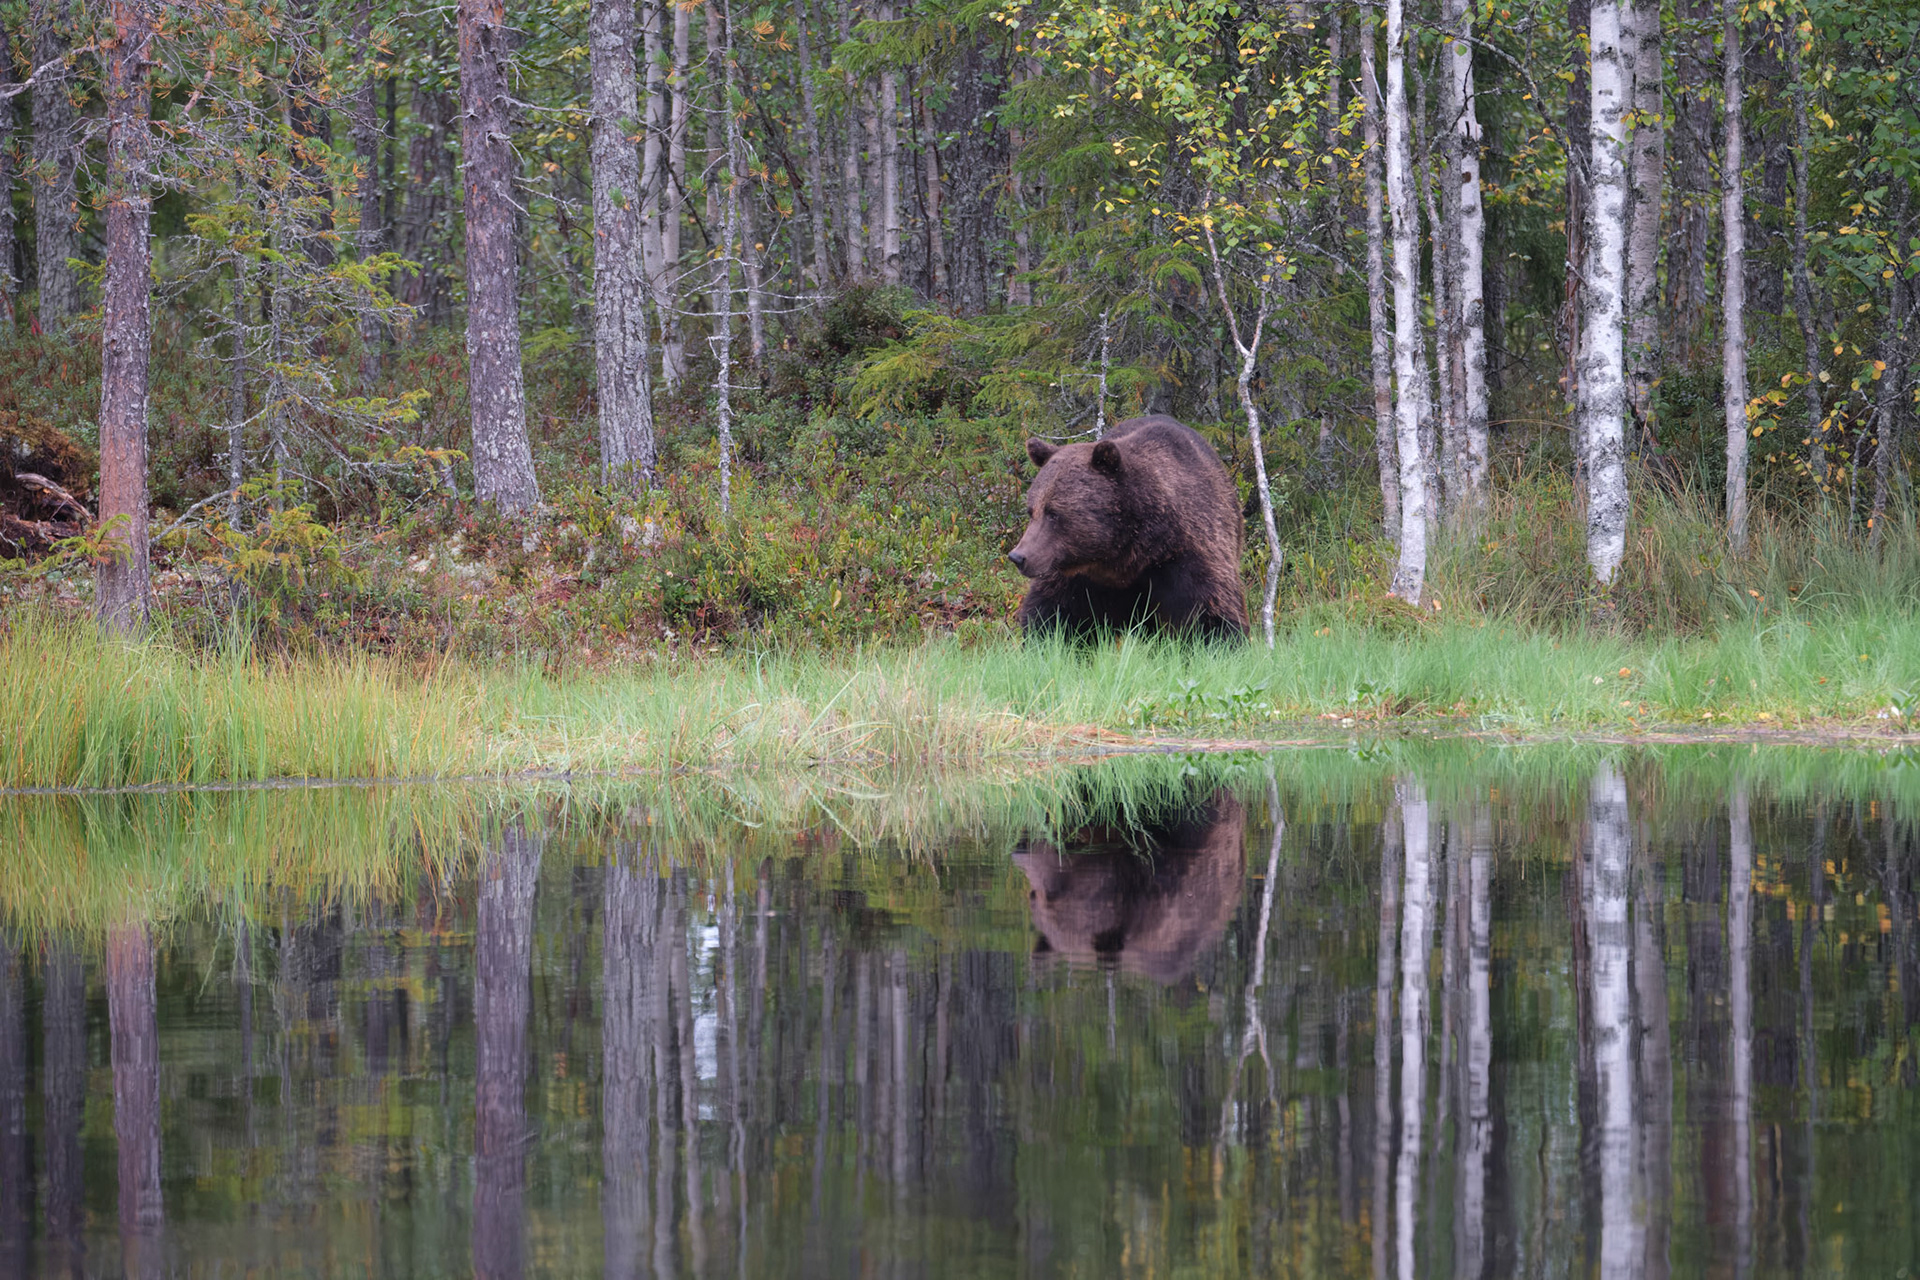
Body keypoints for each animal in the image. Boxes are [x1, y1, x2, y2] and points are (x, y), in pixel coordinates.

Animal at [1007, 414, 1248, 640]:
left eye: (1053, 513)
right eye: (1031, 511)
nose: (1018, 557)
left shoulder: (1190, 553)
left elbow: (1209, 612)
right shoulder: (1075, 574)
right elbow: (1052, 613)